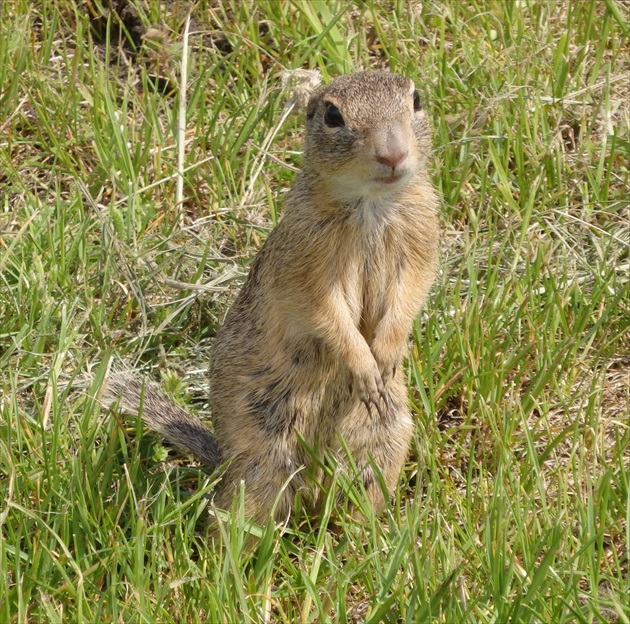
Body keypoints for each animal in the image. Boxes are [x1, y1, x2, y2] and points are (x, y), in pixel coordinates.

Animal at [105, 70, 440, 524]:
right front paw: (364, 364)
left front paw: (387, 352)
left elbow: (411, 294)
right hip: (264, 459)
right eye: (333, 116)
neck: (371, 205)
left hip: (383, 440)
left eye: (416, 99)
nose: (394, 154)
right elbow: (325, 313)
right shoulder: (303, 265)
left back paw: (369, 532)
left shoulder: (421, 238)